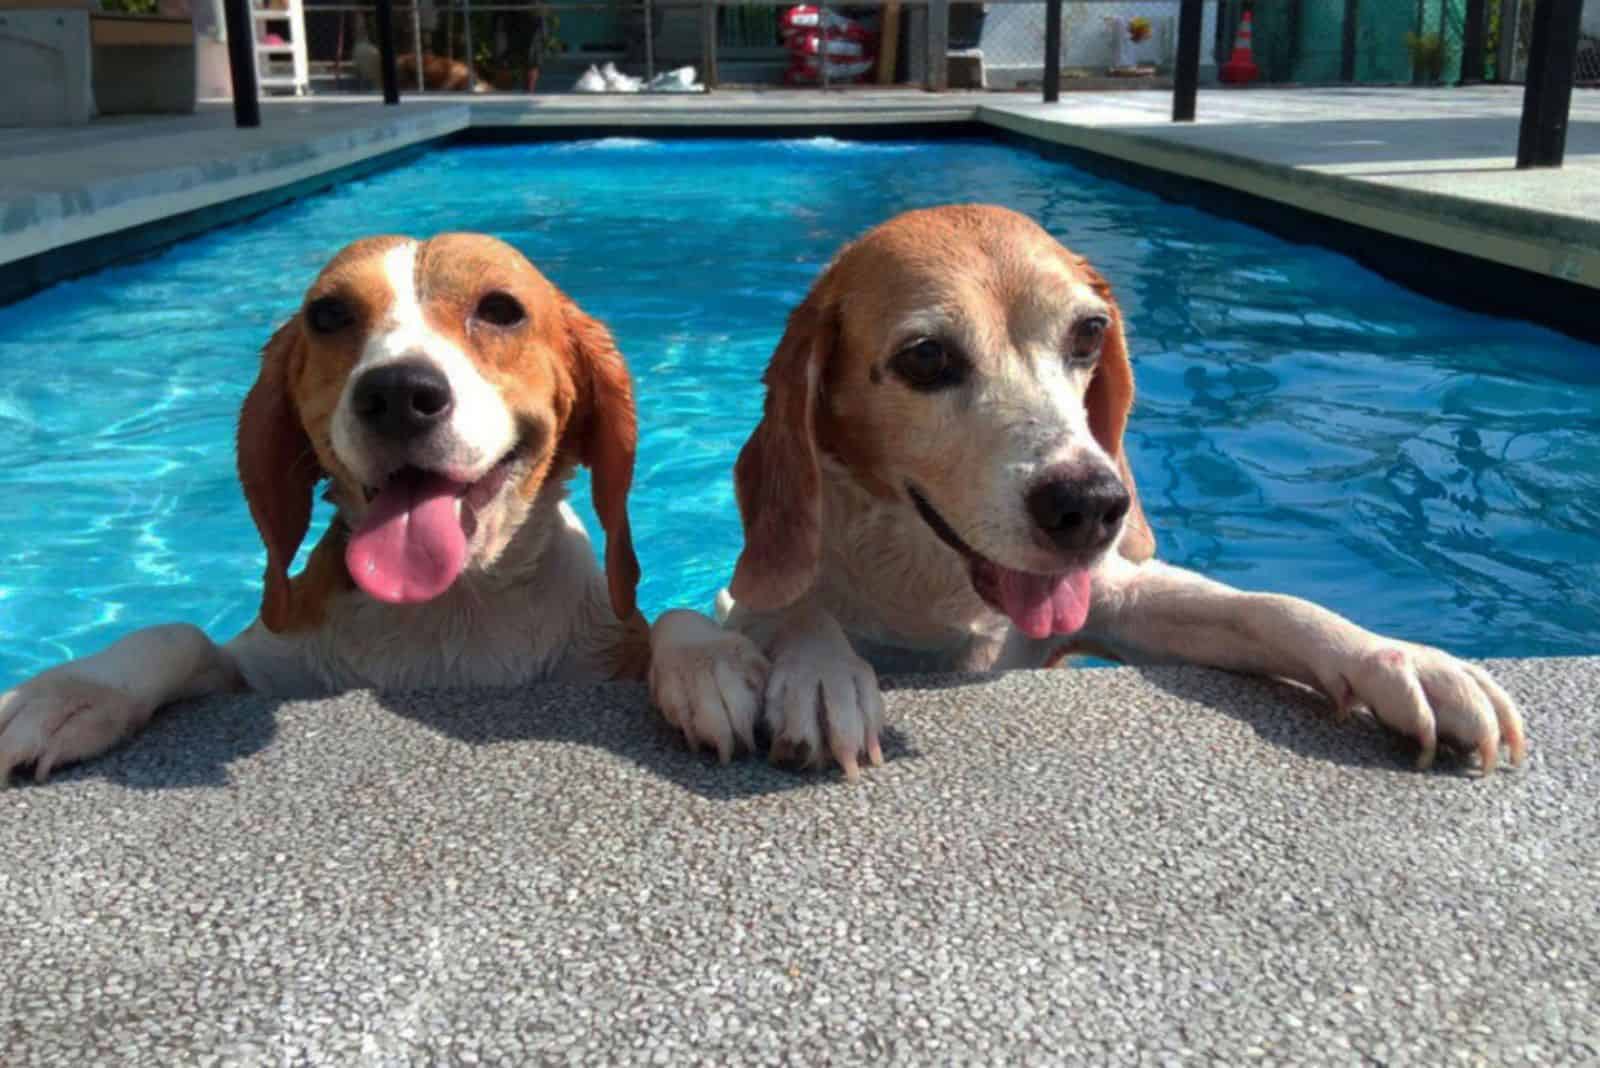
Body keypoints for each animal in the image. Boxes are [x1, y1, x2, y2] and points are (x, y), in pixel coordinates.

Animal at [3, 235, 649, 783]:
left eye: (501, 309)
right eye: (329, 314)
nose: (397, 393)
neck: (446, 611)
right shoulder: (263, 670)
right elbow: (178, 634)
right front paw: (71, 691)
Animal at [646, 204, 1523, 780]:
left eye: (1089, 334)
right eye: (926, 357)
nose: (1094, 505)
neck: (933, 586)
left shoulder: (1119, 601)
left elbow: (1271, 608)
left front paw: (1398, 658)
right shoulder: (754, 599)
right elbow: (767, 615)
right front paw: (819, 670)